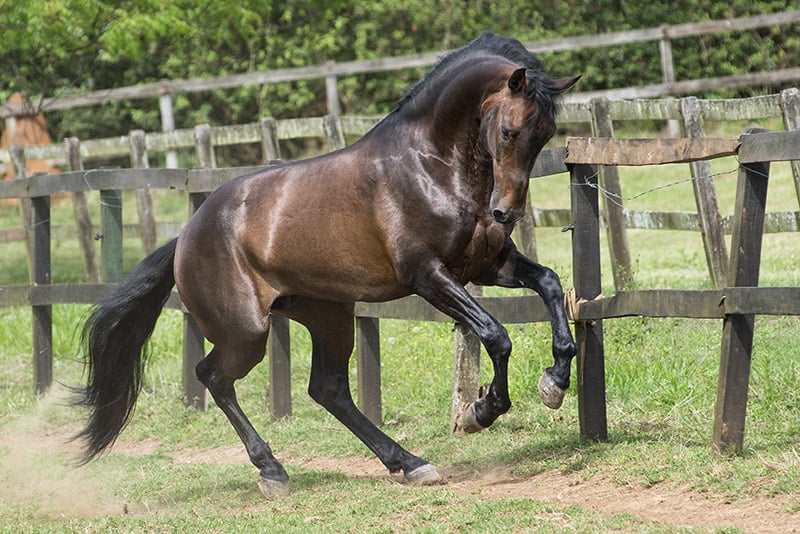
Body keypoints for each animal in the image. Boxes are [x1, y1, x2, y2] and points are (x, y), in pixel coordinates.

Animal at [75, 32, 580, 497]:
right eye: (509, 131)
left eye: (546, 135)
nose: (506, 212)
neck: (430, 167)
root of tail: (185, 235)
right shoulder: (429, 276)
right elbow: (496, 335)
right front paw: (481, 411)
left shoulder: (487, 266)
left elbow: (550, 283)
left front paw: (554, 382)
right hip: (246, 332)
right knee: (213, 378)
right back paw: (273, 471)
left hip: (327, 314)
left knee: (328, 388)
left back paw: (409, 463)